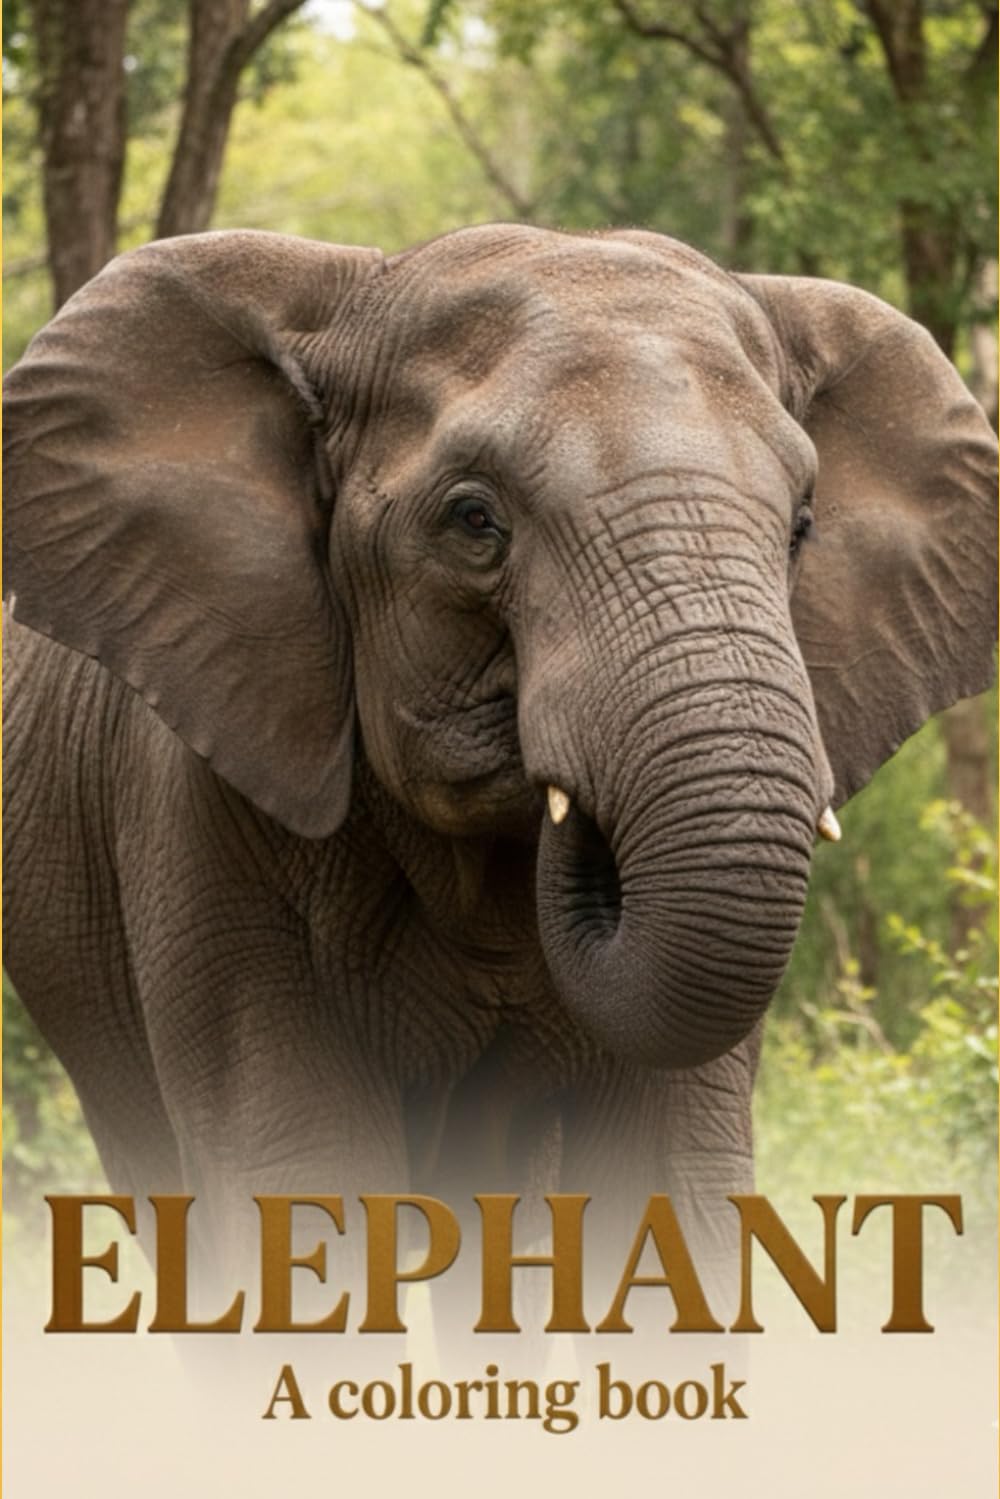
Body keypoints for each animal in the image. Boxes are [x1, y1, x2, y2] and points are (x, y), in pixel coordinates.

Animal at [3, 224, 996, 1316]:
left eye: (802, 528)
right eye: (474, 520)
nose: (578, 816)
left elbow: (668, 1197)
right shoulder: (199, 810)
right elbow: (299, 1195)